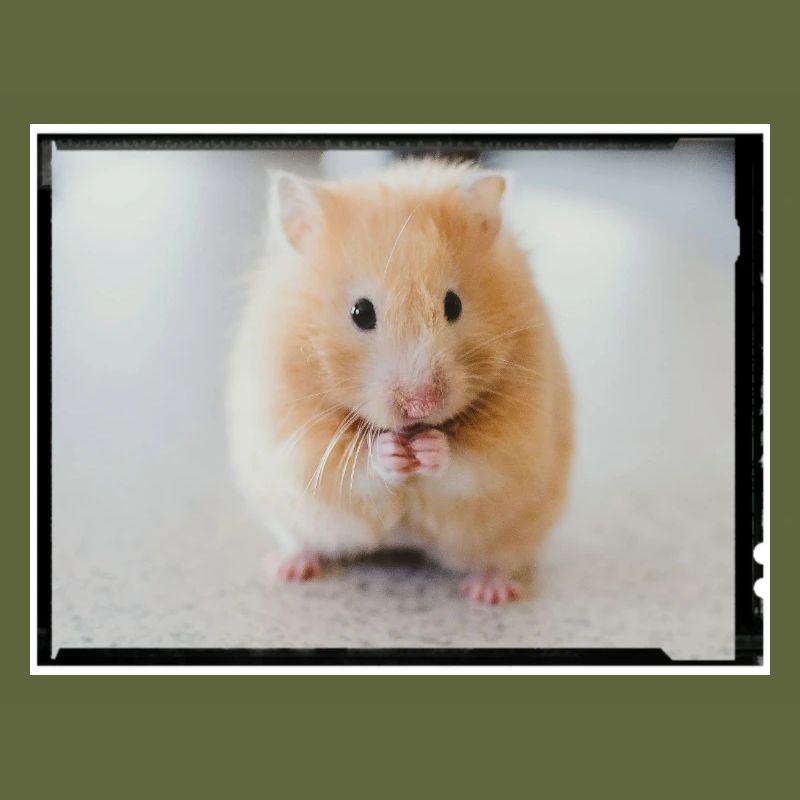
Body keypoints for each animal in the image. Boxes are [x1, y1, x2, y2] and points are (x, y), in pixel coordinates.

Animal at [226, 159, 572, 603]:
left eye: (453, 305)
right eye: (360, 312)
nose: (420, 405)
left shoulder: (517, 442)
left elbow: (471, 464)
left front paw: (429, 448)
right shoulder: (293, 435)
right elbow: (351, 467)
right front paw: (392, 451)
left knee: (496, 559)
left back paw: (490, 593)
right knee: (303, 541)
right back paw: (288, 568)